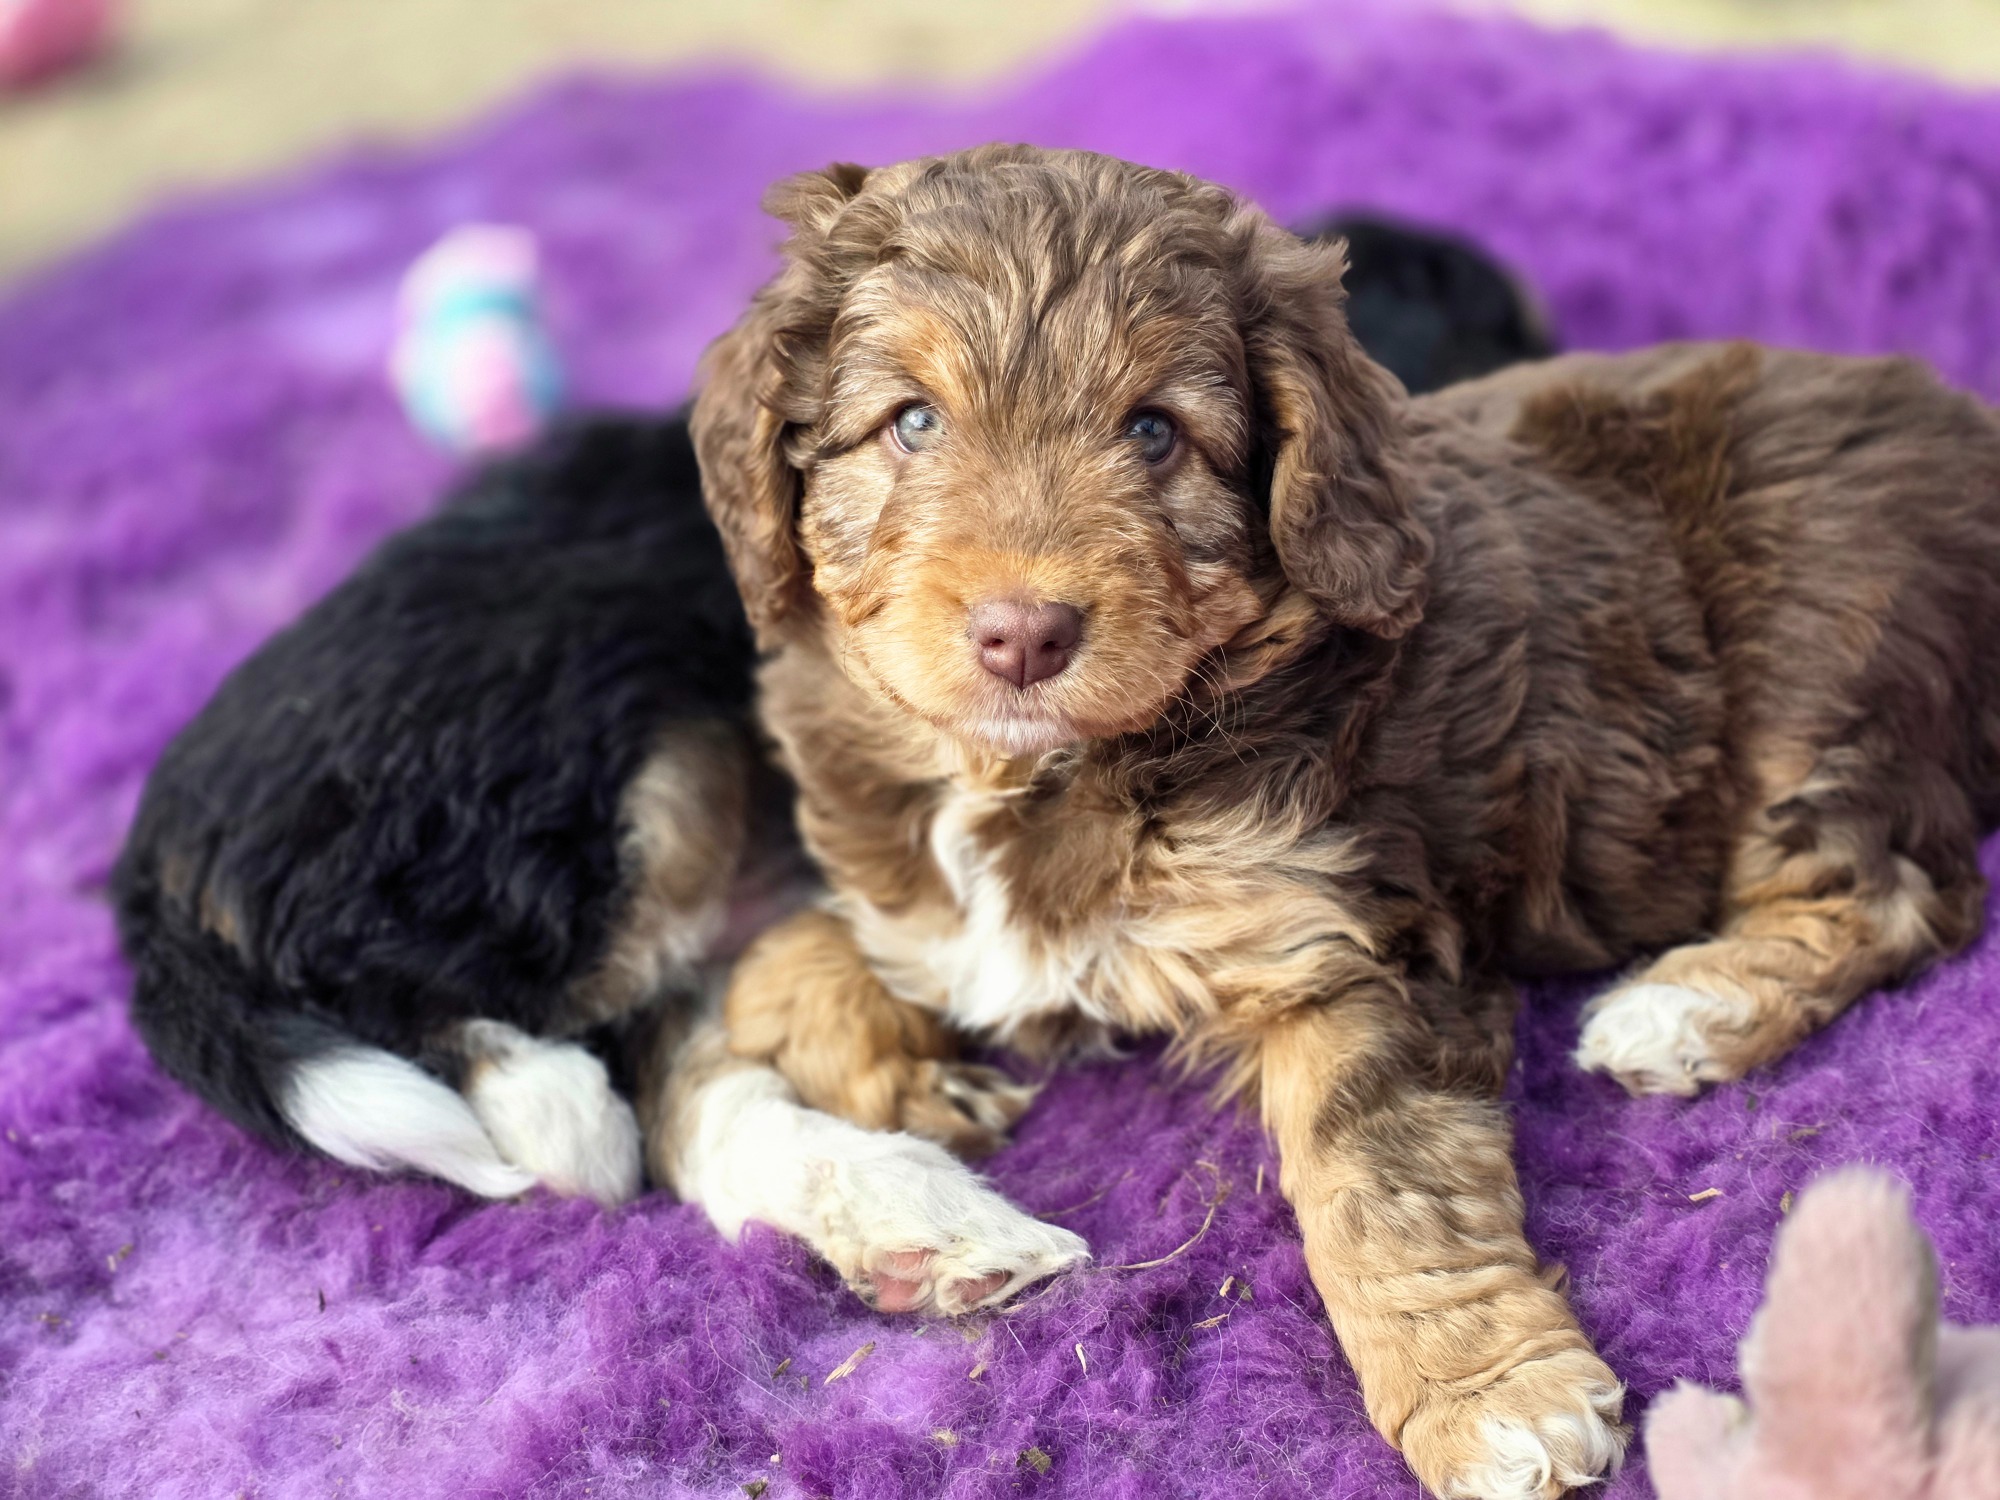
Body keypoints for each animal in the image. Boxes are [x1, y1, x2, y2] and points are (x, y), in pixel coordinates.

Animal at [687, 145, 2000, 1499]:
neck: (1043, 770)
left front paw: (1489, 1400)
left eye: (1153, 431)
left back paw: (1684, 1008)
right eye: (910, 421)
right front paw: (909, 1090)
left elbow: (1371, 1167)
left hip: (1820, 645)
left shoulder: (1345, 940)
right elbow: (782, 958)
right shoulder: (915, 899)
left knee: (1893, 890)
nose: (1022, 635)